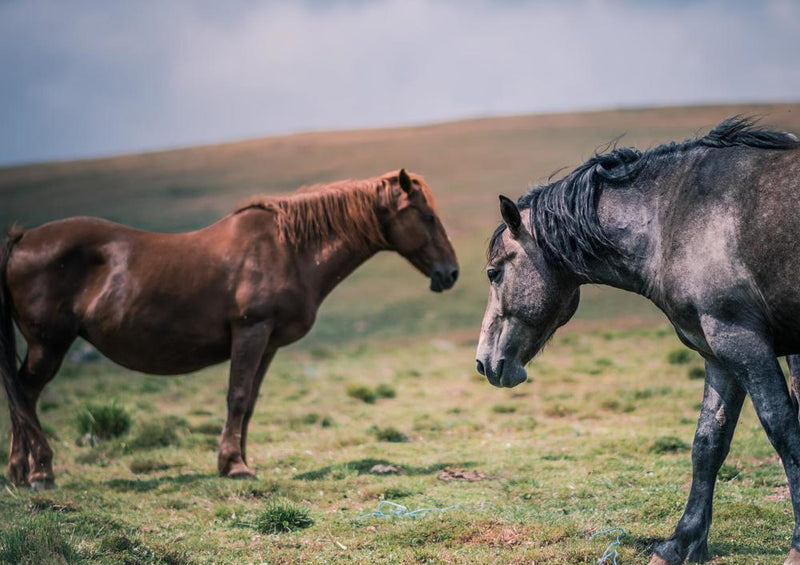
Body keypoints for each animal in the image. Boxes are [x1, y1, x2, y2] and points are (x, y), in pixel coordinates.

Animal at [0, 169, 456, 490]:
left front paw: (238, 459)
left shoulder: (268, 344)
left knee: (23, 395)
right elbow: (236, 396)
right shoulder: (251, 332)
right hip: (49, 344)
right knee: (24, 394)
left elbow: (249, 401)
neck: (288, 249)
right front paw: (235, 466)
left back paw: (19, 472)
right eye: (427, 216)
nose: (450, 273)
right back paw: (41, 472)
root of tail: (22, 240)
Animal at [476, 118, 800, 564]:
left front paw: (798, 546)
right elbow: (708, 444)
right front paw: (680, 543)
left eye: (494, 273)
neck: (674, 217)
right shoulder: (719, 353)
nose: (483, 362)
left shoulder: (743, 342)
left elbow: (784, 432)